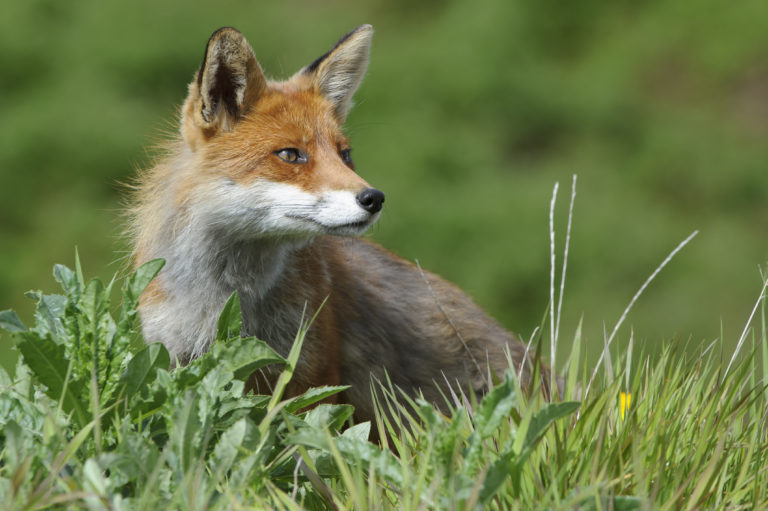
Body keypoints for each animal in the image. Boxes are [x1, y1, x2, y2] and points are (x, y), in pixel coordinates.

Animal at [130, 25, 551, 427]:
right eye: (290, 155)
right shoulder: (174, 357)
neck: (226, 300)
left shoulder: (309, 377)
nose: (374, 198)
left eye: (345, 155)